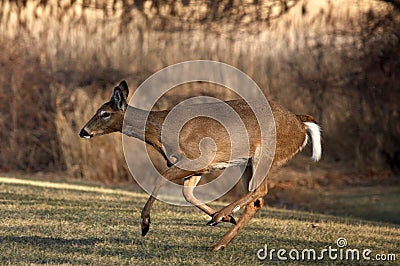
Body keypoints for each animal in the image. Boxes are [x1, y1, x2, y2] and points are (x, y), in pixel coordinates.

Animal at [79, 80, 322, 250]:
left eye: (105, 113)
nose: (83, 131)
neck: (163, 132)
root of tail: (300, 122)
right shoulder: (199, 167)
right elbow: (187, 193)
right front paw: (225, 217)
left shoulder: (199, 158)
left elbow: (161, 178)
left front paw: (145, 224)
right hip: (246, 163)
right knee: (257, 199)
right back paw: (219, 239)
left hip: (267, 153)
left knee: (261, 190)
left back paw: (218, 219)